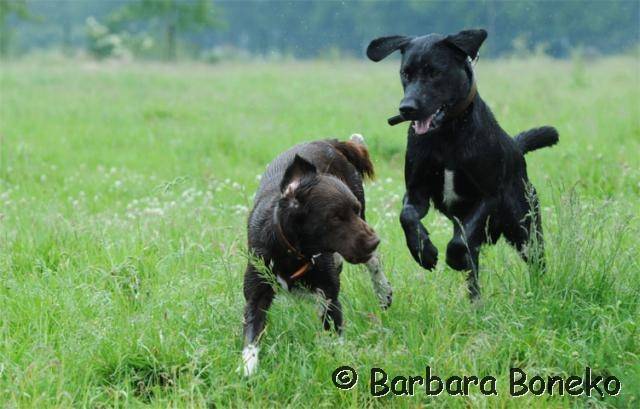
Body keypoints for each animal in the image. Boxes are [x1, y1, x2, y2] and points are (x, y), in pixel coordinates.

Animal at [240, 135, 392, 374]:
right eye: (335, 217)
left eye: (355, 210)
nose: (374, 241)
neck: (293, 253)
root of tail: (327, 141)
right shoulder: (256, 295)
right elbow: (251, 339)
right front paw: (248, 370)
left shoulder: (330, 297)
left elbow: (336, 337)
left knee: (374, 262)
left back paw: (383, 292)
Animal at [368, 27, 556, 296]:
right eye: (406, 73)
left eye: (435, 72)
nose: (407, 108)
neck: (447, 134)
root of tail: (516, 147)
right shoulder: (416, 192)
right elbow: (407, 217)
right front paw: (424, 252)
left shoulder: (489, 195)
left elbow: (459, 242)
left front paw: (454, 258)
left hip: (525, 226)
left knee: (535, 260)